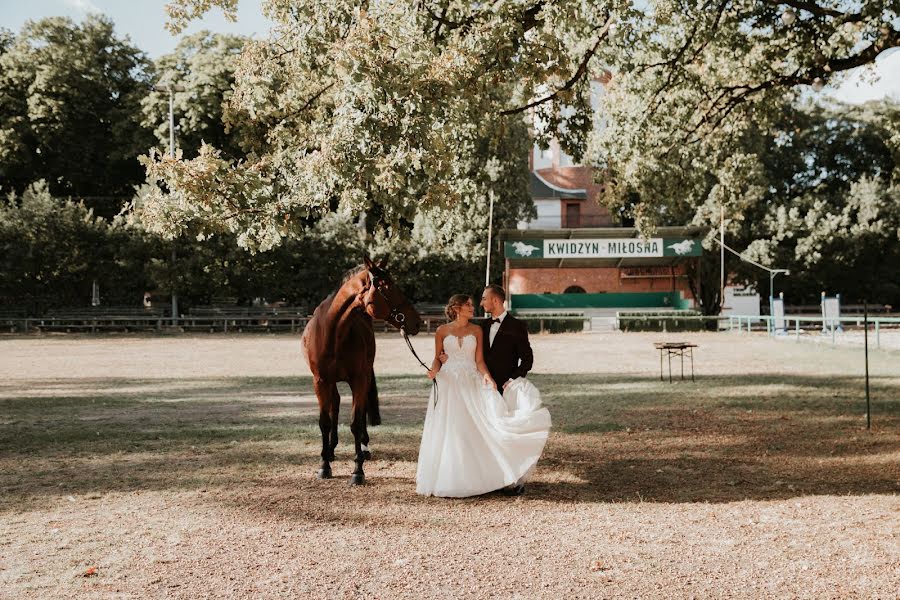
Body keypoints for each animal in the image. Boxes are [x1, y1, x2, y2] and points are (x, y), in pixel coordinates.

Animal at [302, 255, 422, 486]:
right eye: (388, 287)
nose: (417, 322)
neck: (334, 332)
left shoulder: (358, 379)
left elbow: (356, 422)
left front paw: (358, 470)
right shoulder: (320, 381)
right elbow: (325, 422)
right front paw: (324, 465)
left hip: (364, 375)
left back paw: (364, 448)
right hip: (332, 382)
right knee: (335, 405)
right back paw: (331, 450)